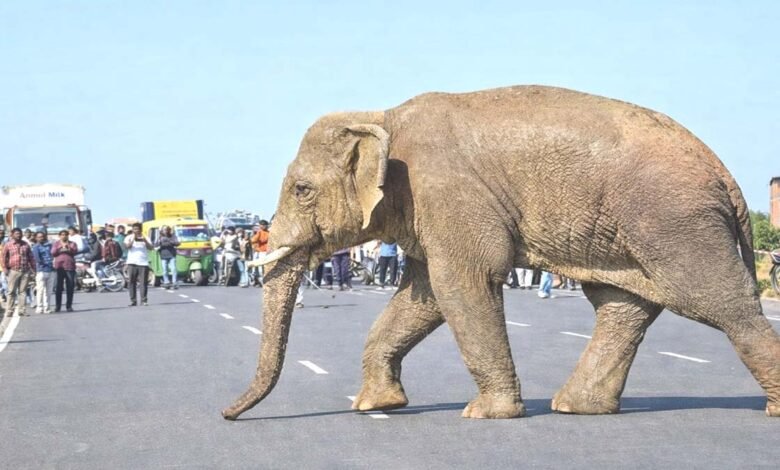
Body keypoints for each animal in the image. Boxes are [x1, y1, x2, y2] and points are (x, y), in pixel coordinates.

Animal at [222, 85, 780, 420]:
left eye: (301, 190)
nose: (227, 413)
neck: (381, 116)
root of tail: (725, 174)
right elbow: (424, 295)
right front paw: (375, 405)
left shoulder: (447, 194)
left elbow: (461, 285)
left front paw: (484, 415)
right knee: (622, 305)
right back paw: (575, 408)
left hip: (674, 222)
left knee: (722, 305)